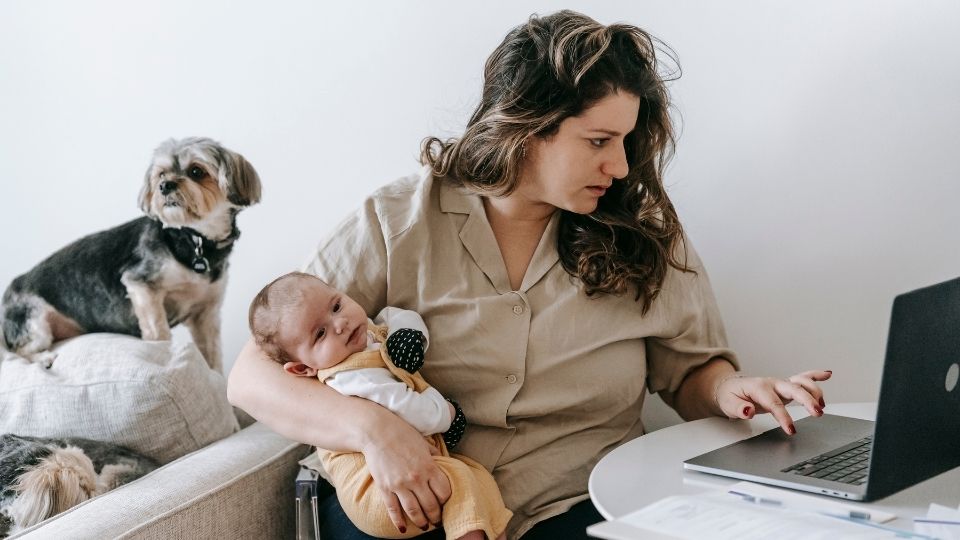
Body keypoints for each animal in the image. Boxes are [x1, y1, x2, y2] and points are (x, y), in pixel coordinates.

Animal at [0, 137, 262, 372]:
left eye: (196, 171)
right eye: (161, 174)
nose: (165, 186)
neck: (193, 238)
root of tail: (10, 290)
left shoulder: (205, 313)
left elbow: (212, 355)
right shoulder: (142, 285)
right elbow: (158, 331)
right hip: (33, 322)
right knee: (16, 351)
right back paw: (43, 358)